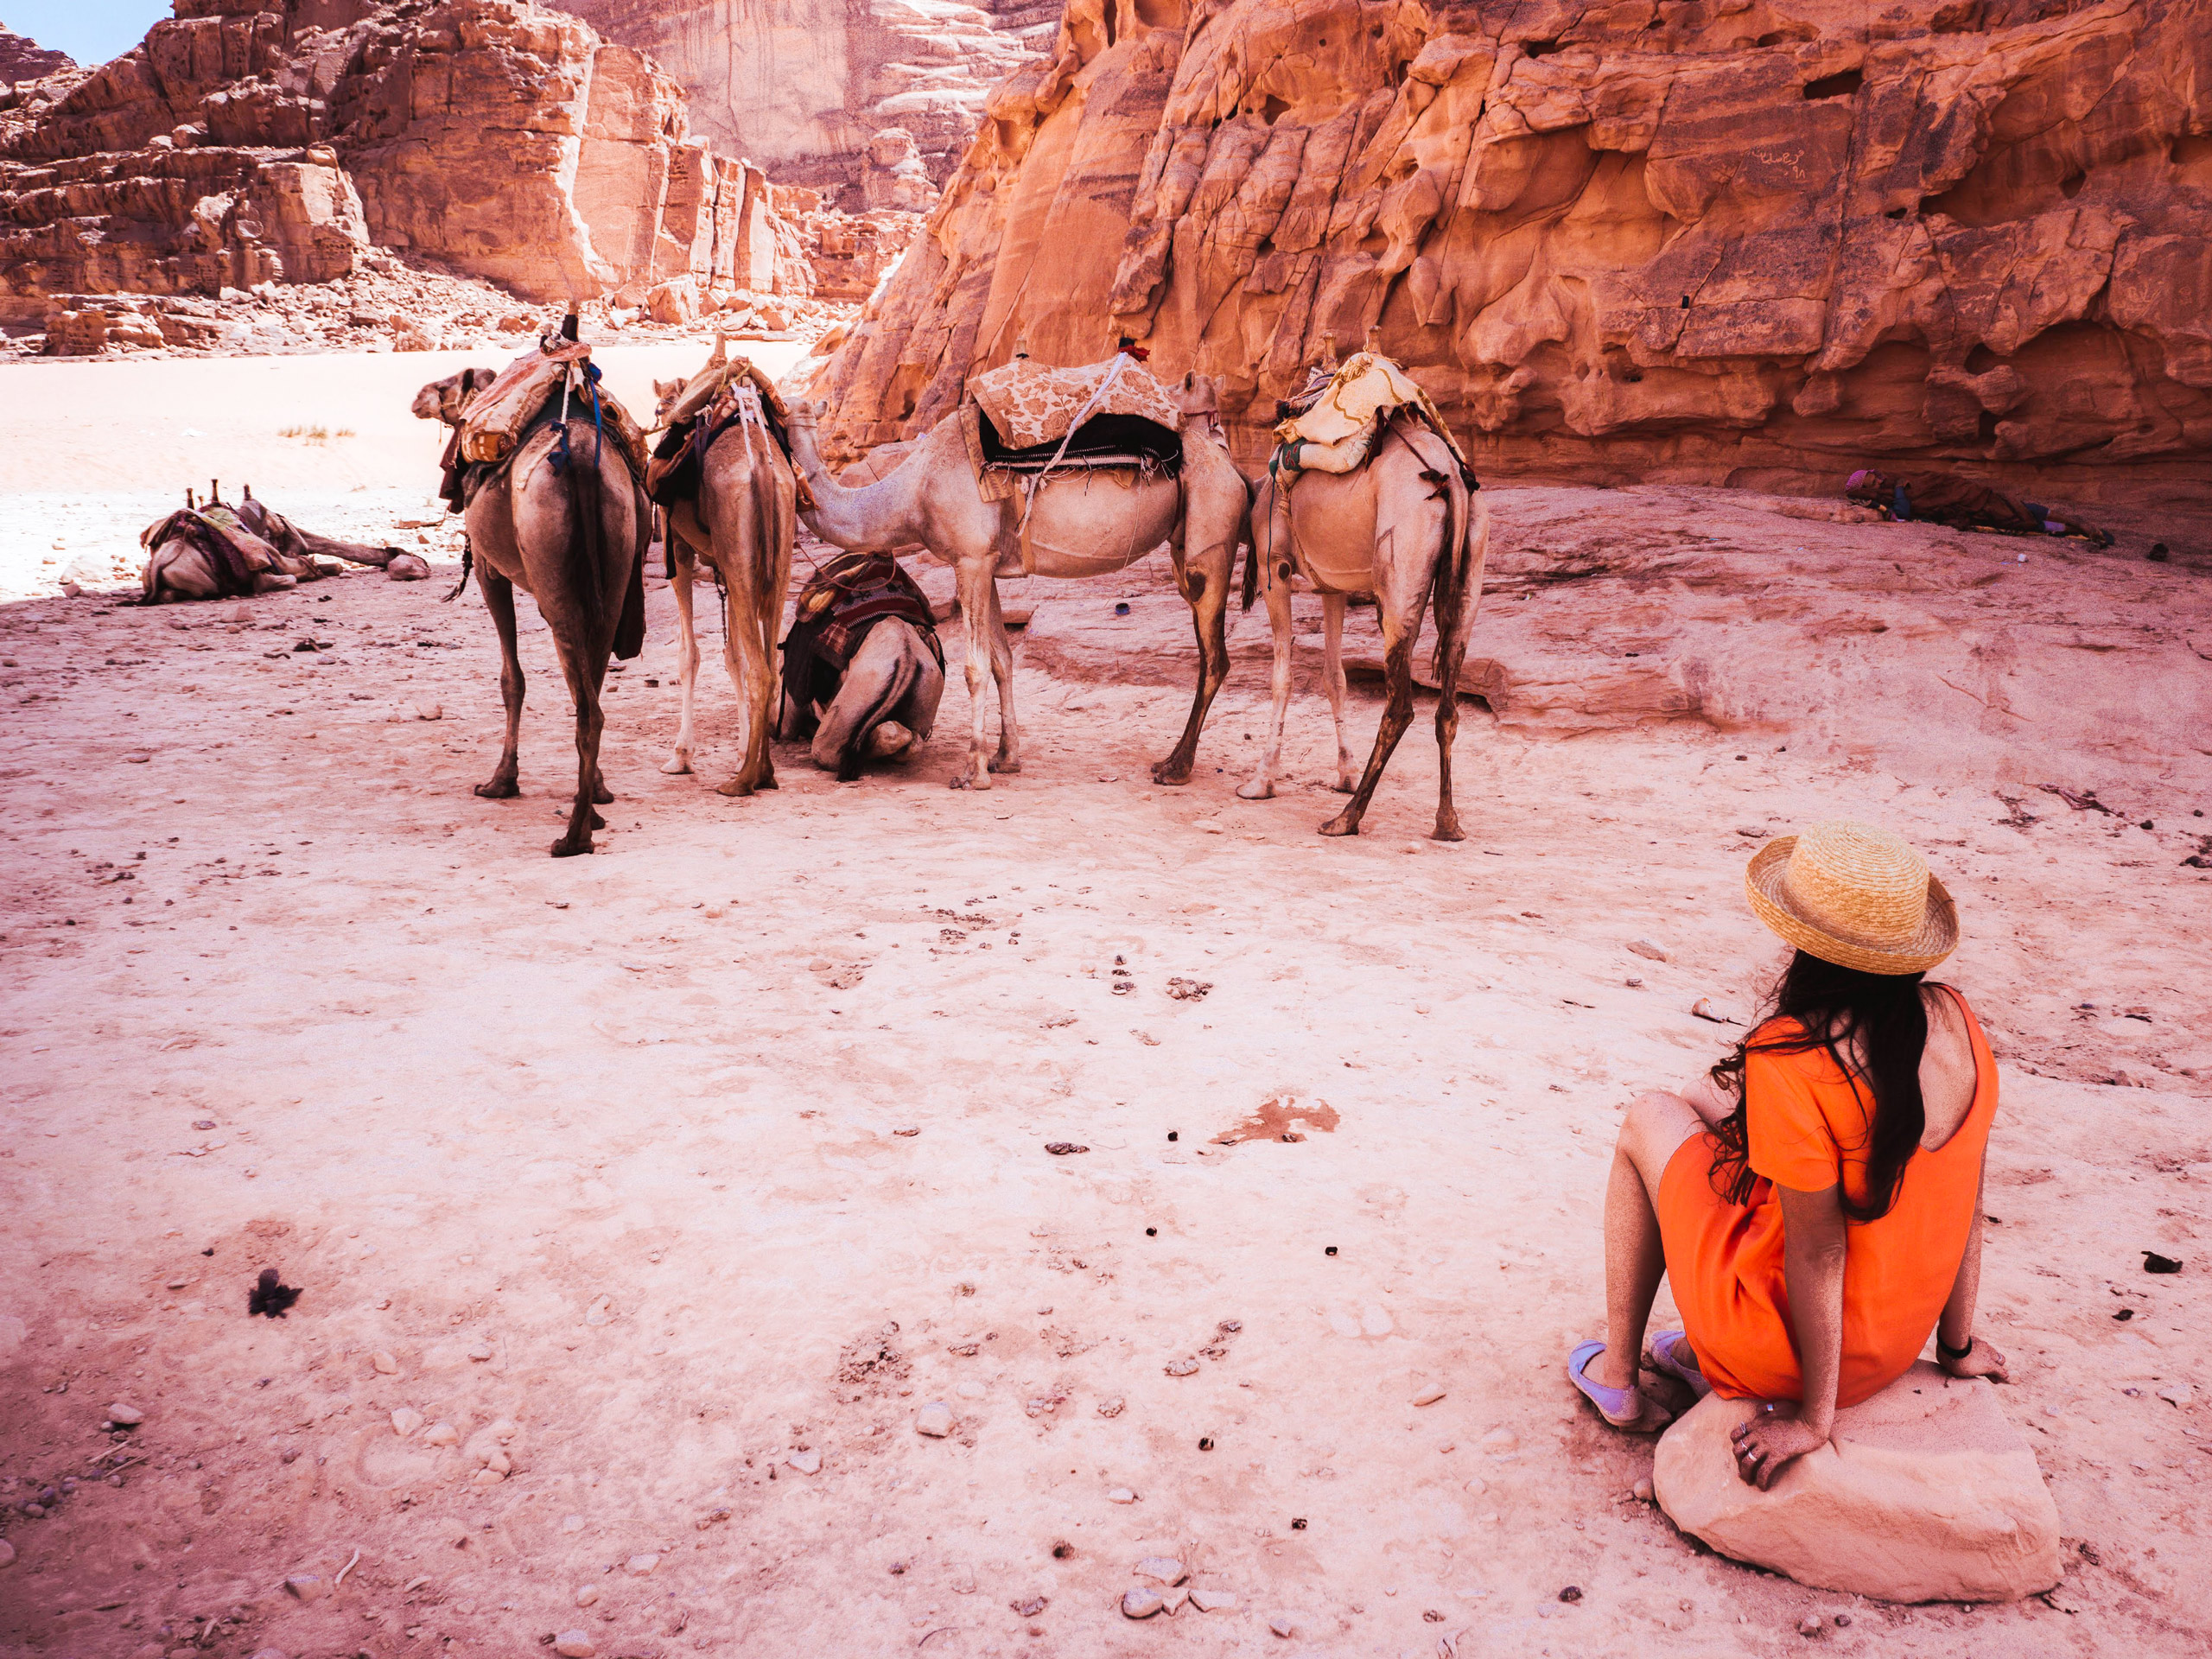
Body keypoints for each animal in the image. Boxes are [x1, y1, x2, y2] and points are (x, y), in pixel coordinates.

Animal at [411, 352, 645, 871]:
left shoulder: (487, 568)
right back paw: (589, 809)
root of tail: (581, 463)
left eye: (446, 385)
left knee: (586, 707)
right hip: (614, 568)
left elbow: (511, 679)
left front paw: (501, 781)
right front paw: (598, 789)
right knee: (592, 695)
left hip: (552, 571)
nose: (418, 396)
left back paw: (575, 836)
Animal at [787, 373, 1256, 796]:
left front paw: (973, 773)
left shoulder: (970, 559)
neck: (911, 493)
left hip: (1210, 533)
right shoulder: (987, 565)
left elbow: (974, 667)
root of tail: (1236, 473)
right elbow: (1001, 660)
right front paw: (1005, 758)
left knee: (1214, 658)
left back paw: (1177, 767)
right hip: (1184, 541)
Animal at [1247, 404, 1486, 844]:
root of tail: (1452, 482)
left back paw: (1345, 819)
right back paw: (1447, 823)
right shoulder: (1332, 585)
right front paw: (1345, 772)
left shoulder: (1273, 566)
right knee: (1448, 704)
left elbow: (1282, 677)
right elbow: (1334, 677)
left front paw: (1262, 780)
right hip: (1472, 563)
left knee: (1400, 707)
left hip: (1400, 564)